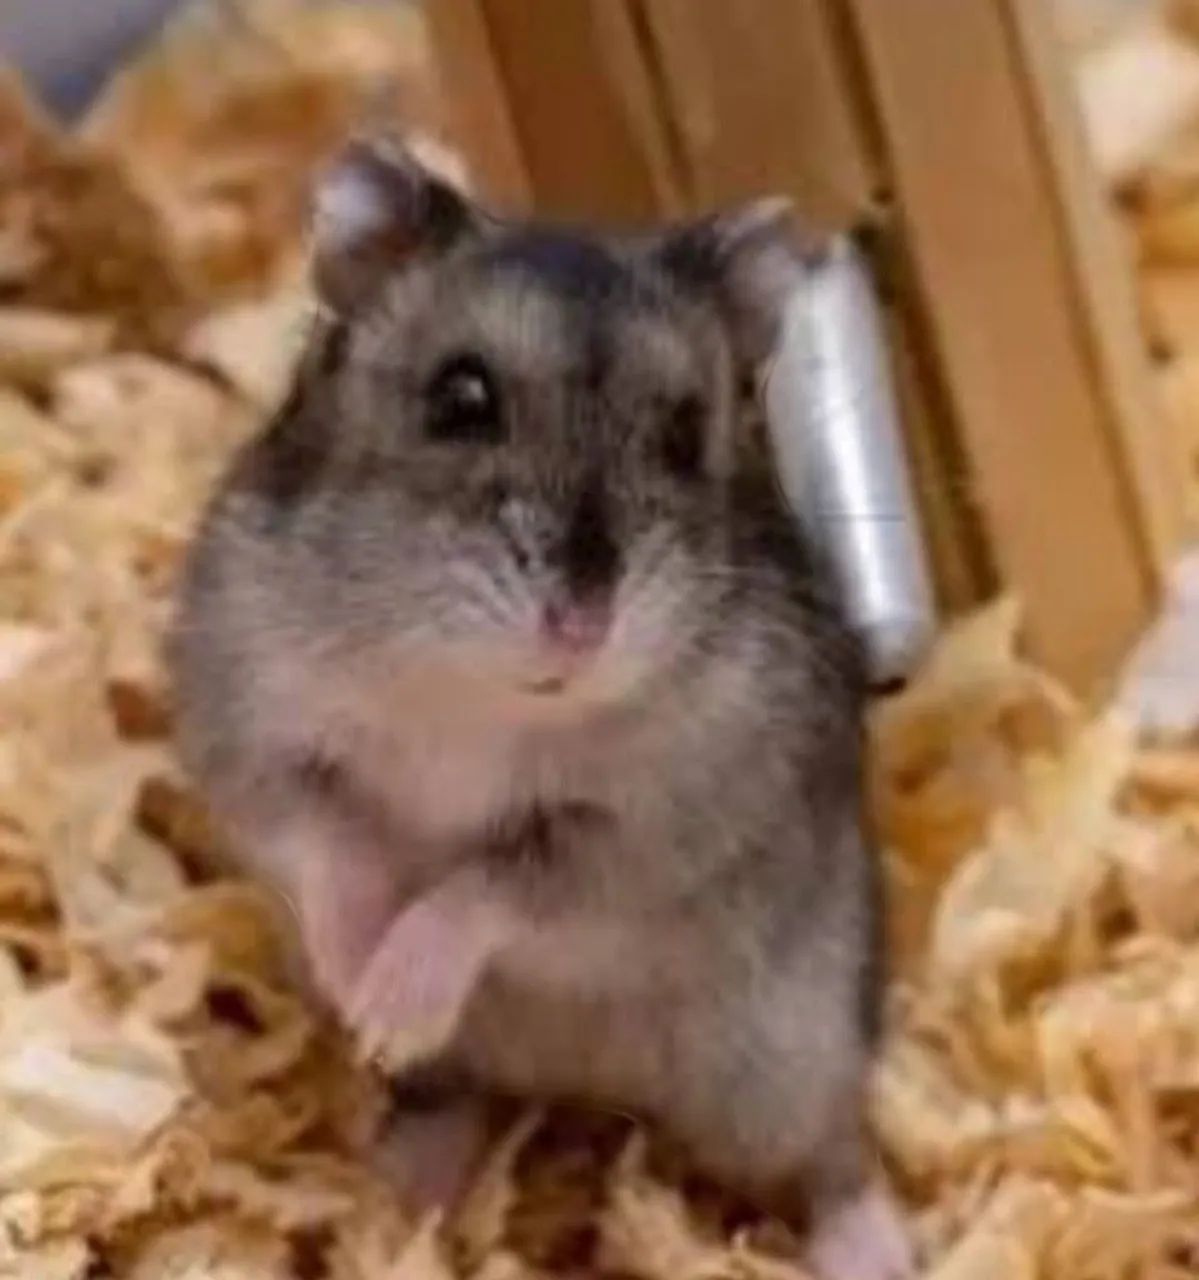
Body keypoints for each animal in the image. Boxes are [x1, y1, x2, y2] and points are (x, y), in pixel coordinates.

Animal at [171, 137, 911, 1280]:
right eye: (459, 396)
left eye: (684, 432)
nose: (579, 625)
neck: (473, 695)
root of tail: (582, 1085)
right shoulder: (252, 732)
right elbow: (328, 842)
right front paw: (355, 986)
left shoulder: (640, 834)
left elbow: (486, 887)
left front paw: (389, 998)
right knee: (460, 1096)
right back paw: (400, 1182)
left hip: (786, 1059)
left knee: (831, 1151)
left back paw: (875, 1249)